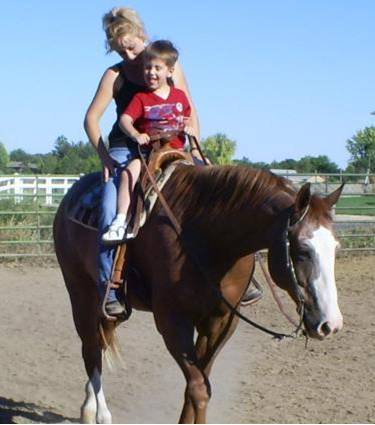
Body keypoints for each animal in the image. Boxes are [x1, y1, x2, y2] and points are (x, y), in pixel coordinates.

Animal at [53, 164, 344, 422]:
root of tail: (73, 192)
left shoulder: (221, 321)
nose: (331, 324)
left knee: (100, 341)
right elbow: (198, 388)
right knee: (91, 348)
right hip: (80, 291)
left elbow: (200, 385)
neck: (210, 239)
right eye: (303, 250)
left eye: (336, 248)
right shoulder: (172, 321)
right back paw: (96, 412)